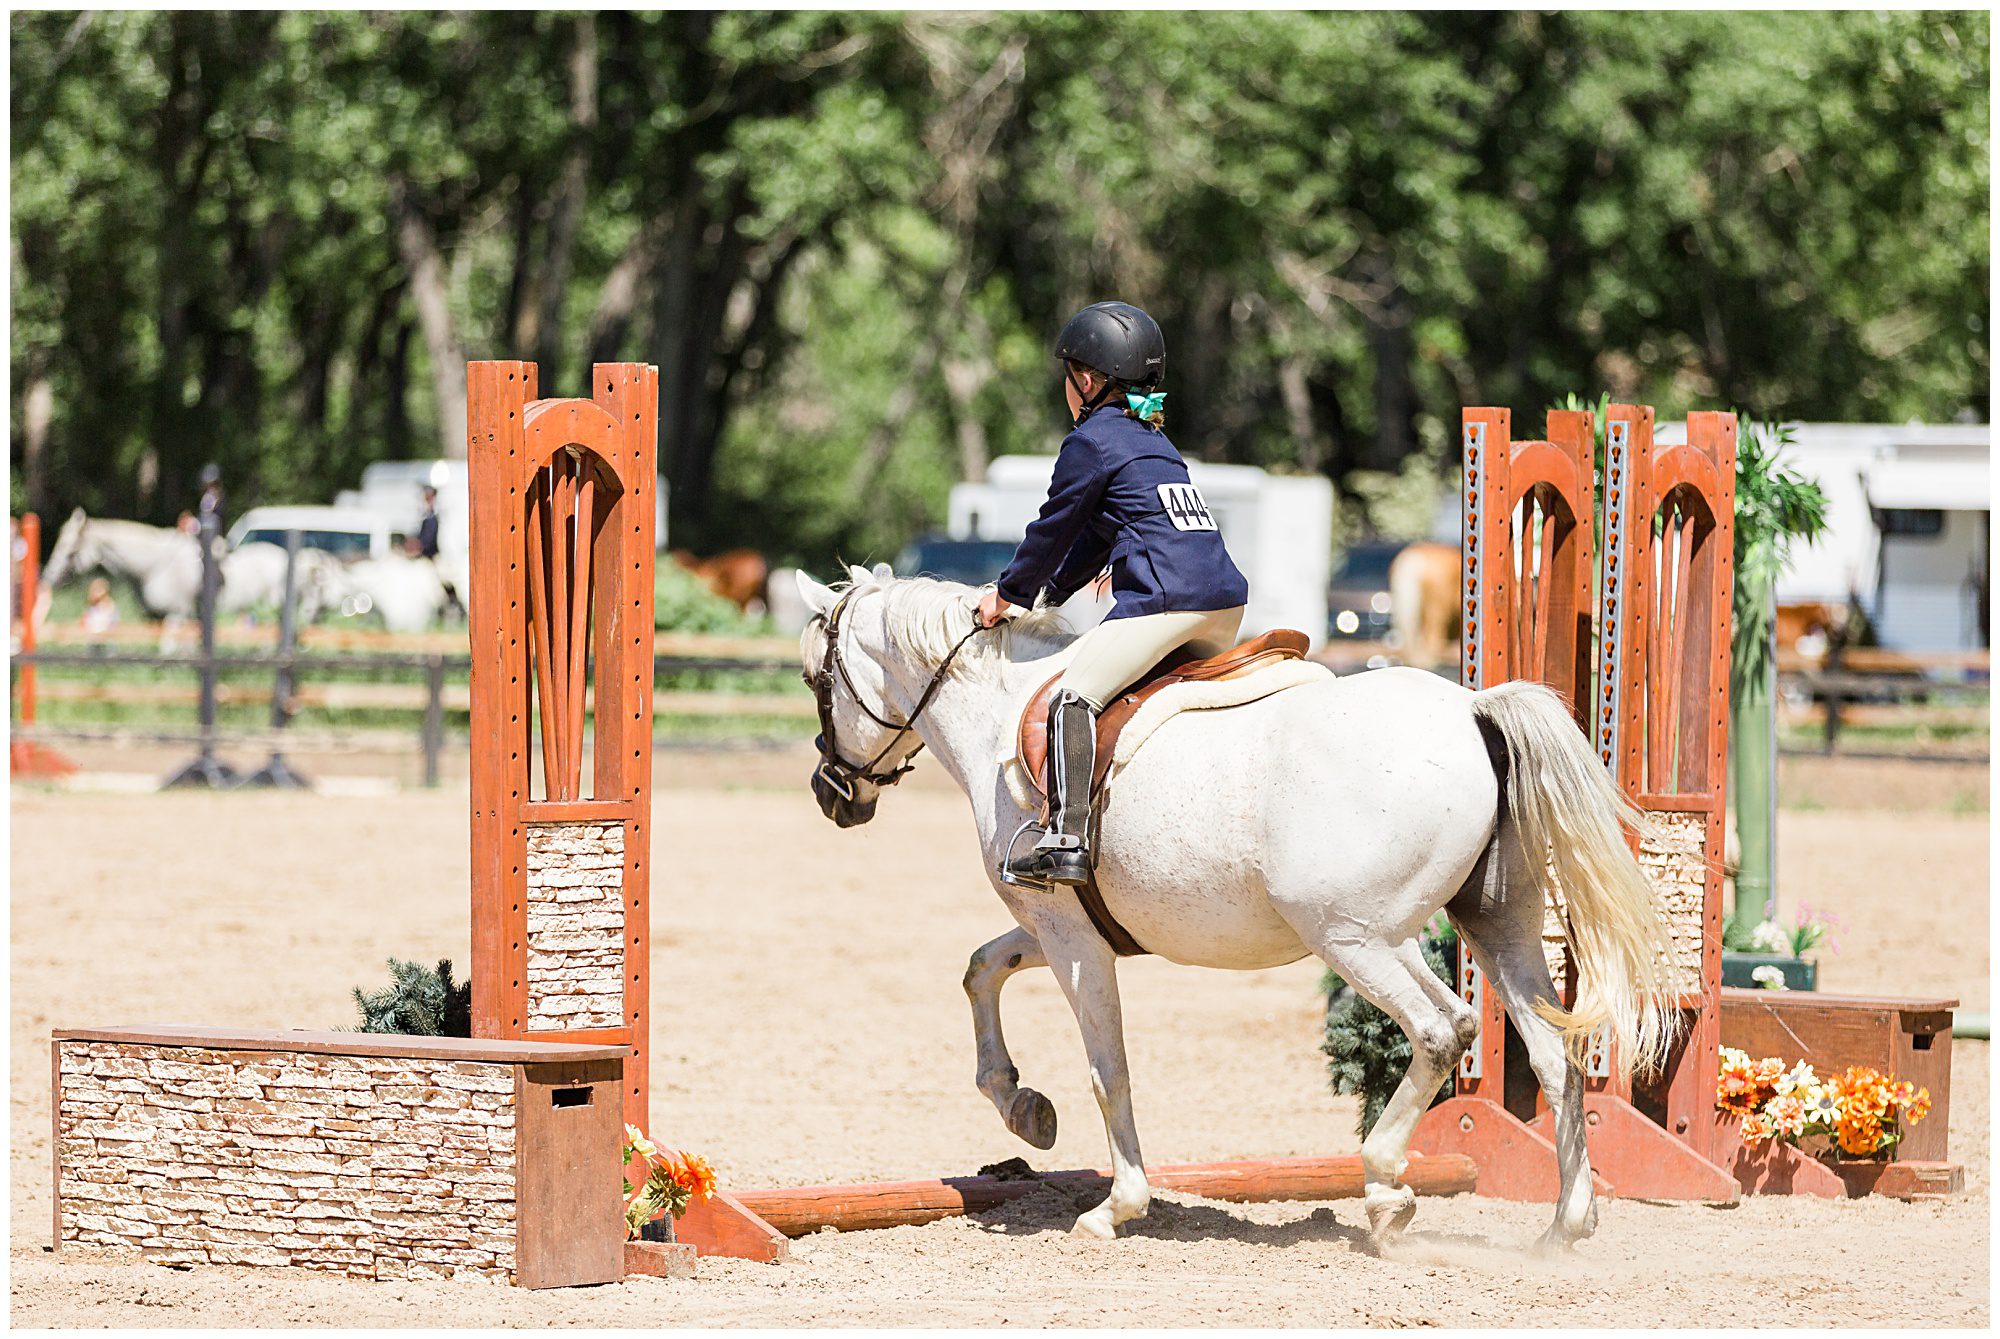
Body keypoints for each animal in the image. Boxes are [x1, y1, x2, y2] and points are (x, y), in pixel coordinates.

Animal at [788, 571, 1680, 1255]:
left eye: (814, 681)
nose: (832, 795)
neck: (999, 713)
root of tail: (1470, 711)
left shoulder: (1073, 937)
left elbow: (1107, 1067)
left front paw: (1116, 1205)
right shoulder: (1065, 926)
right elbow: (981, 968)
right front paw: (1025, 1109)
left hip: (1354, 935)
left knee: (1440, 1029)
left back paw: (1386, 1188)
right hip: (1493, 927)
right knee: (1556, 1056)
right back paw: (1565, 1225)